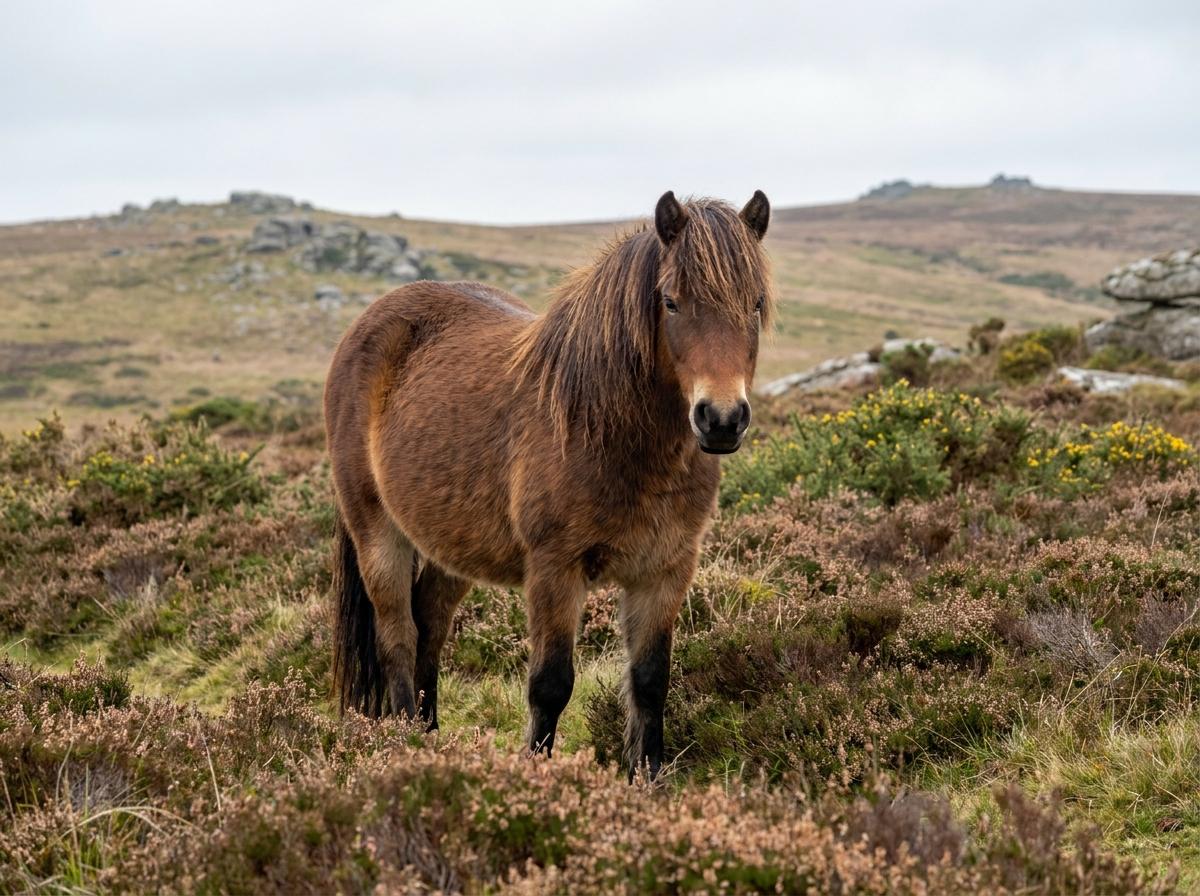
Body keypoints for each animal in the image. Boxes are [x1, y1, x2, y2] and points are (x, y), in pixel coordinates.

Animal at [324, 190, 773, 777]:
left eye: (756, 305)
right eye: (671, 302)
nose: (721, 420)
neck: (608, 431)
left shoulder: (665, 571)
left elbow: (651, 682)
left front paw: (647, 781)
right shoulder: (555, 570)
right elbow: (551, 686)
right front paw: (538, 778)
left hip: (453, 548)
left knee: (429, 627)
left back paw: (431, 741)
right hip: (377, 532)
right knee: (397, 636)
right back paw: (403, 745)